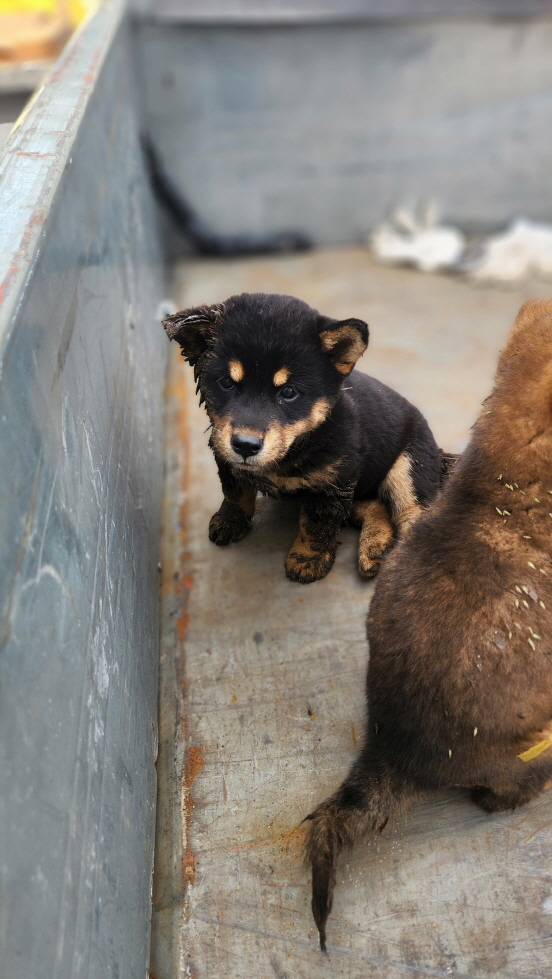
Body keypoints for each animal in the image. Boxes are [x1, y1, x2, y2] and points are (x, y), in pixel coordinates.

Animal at [163, 290, 440, 580]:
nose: (245, 446)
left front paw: (307, 561)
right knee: (375, 505)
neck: (297, 445)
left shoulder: (331, 484)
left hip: (408, 470)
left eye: (289, 392)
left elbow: (316, 526)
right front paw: (229, 522)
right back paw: (375, 550)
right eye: (226, 383)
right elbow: (235, 493)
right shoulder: (225, 456)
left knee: (410, 514)